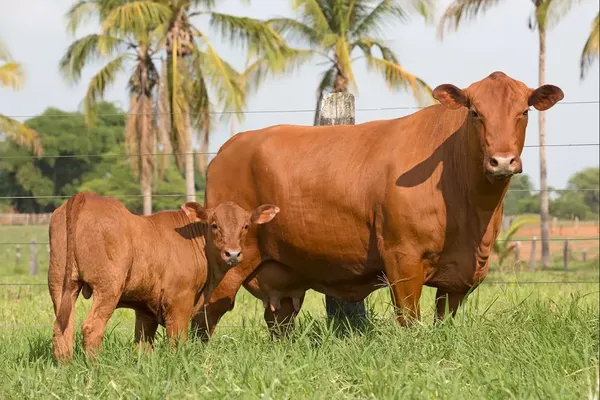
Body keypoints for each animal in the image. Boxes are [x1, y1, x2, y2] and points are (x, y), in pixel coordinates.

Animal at [48, 192, 278, 360]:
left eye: (245, 226)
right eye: (214, 225)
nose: (232, 254)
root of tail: (85, 196)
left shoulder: (144, 308)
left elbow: (142, 345)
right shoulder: (179, 301)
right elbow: (177, 340)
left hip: (60, 283)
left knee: (62, 329)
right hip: (108, 288)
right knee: (91, 328)